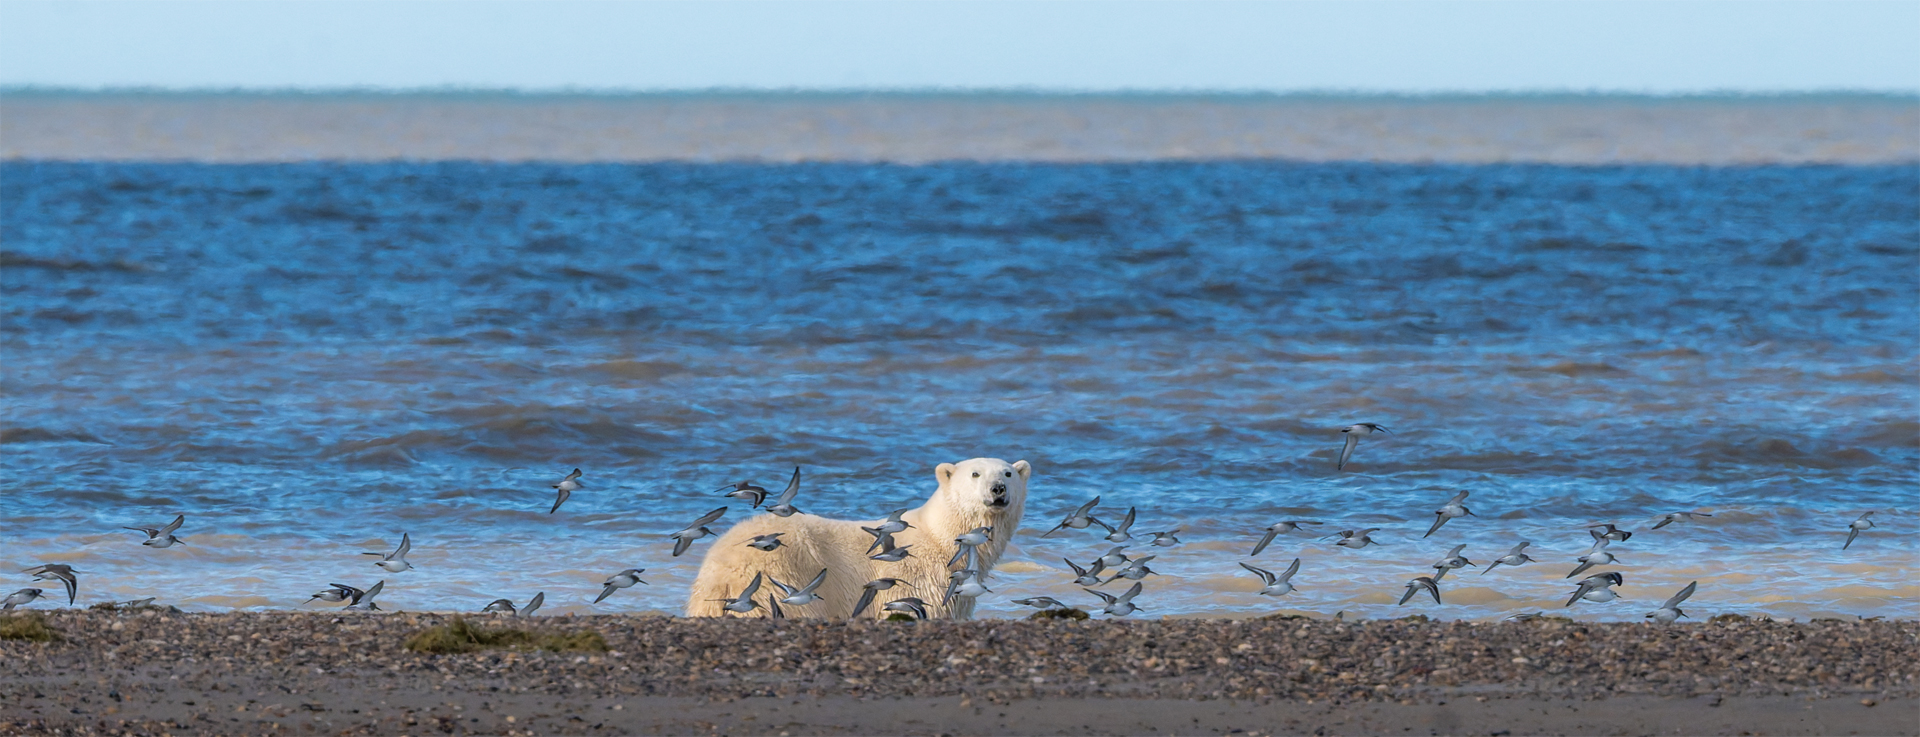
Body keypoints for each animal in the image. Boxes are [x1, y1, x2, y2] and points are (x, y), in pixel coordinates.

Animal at [685, 457, 1031, 620]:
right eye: (975, 474)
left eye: (1008, 473)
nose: (998, 489)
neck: (940, 537)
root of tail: (720, 567)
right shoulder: (918, 579)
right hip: (782, 573)